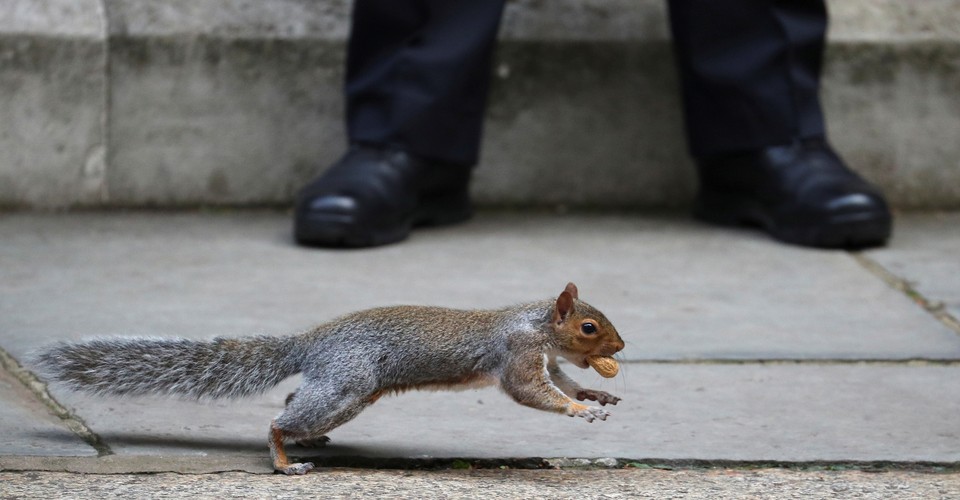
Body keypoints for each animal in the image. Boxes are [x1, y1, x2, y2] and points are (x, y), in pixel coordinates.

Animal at [31, 284, 624, 474]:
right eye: (589, 326)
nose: (620, 349)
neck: (535, 326)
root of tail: (310, 343)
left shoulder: (546, 360)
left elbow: (562, 382)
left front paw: (593, 393)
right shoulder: (518, 355)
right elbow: (530, 392)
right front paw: (579, 410)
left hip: (342, 388)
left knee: (295, 397)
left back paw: (307, 441)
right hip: (347, 386)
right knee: (278, 419)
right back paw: (284, 459)